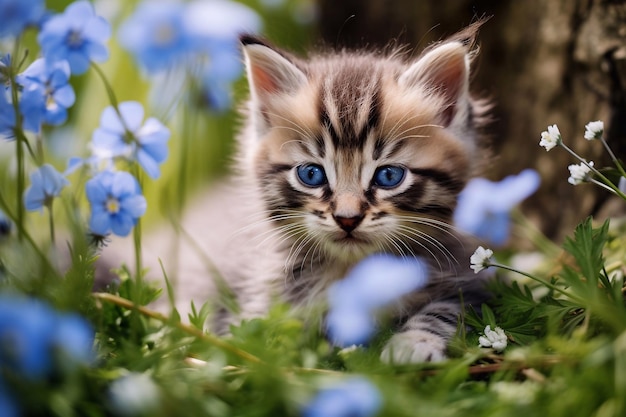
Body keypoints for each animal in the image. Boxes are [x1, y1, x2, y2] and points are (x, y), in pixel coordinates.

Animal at [105, 22, 490, 362]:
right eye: (311, 174)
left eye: (389, 176)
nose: (347, 218)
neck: (354, 272)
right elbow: (259, 335)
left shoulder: (473, 279)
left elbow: (450, 308)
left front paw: (413, 343)